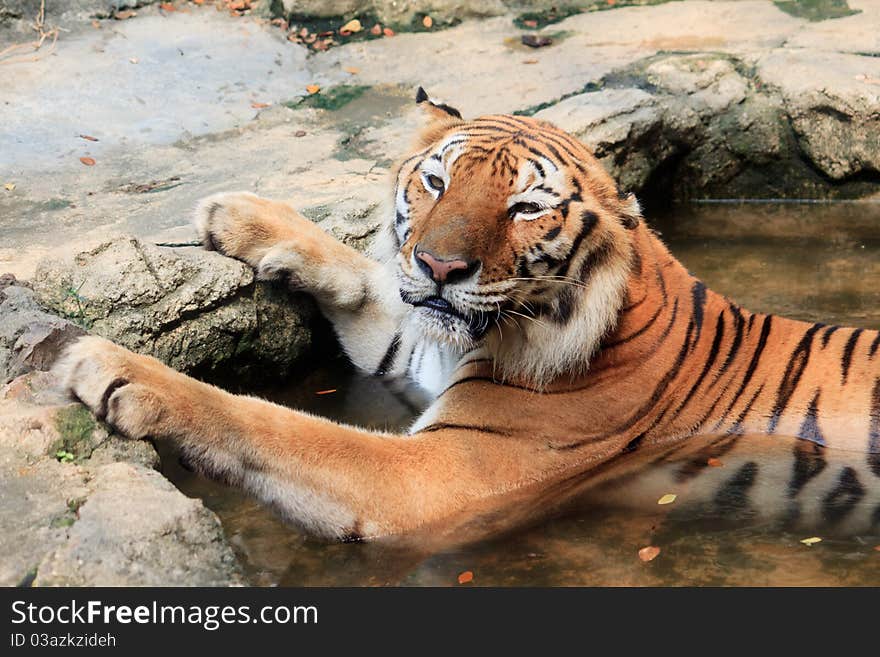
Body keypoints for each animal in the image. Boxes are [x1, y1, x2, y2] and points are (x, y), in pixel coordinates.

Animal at [55, 86, 880, 540]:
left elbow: (274, 423)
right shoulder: (419, 346)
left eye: (525, 210)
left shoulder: (436, 473)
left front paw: (114, 368)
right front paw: (238, 214)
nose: (440, 267)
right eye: (436, 181)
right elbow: (364, 276)